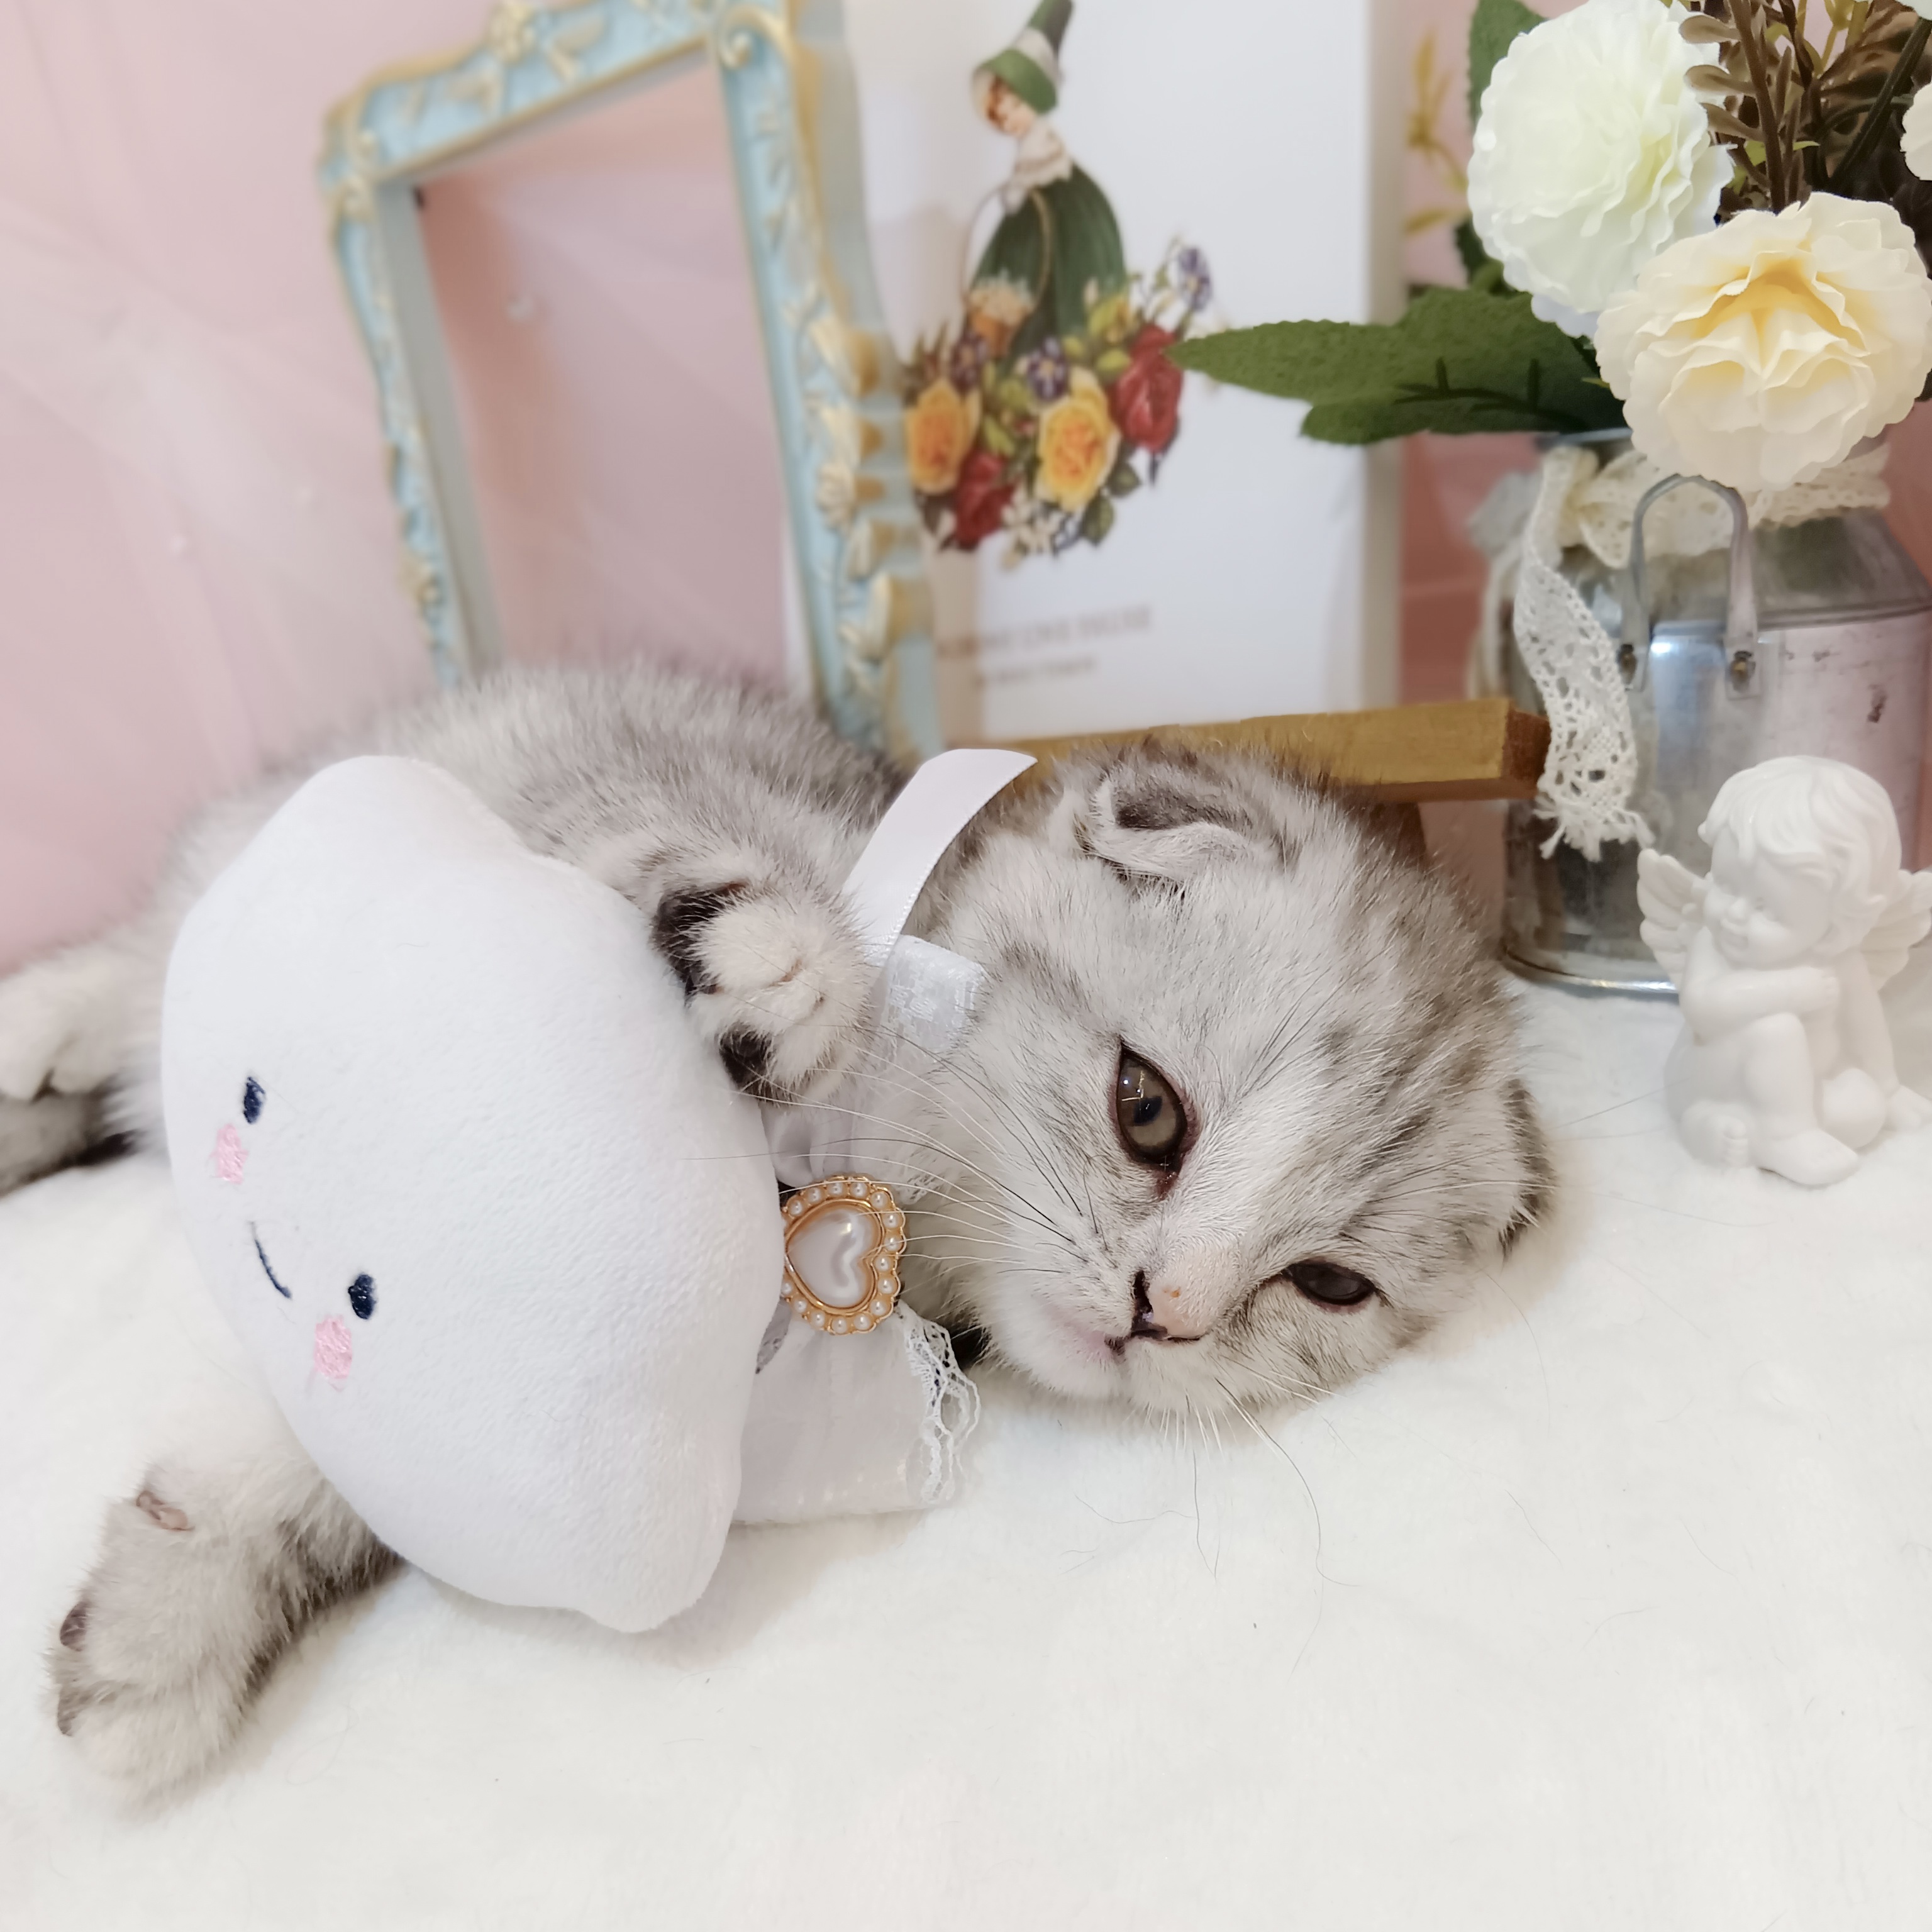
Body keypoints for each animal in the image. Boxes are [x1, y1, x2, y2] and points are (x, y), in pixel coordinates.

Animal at [2, 663, 1550, 1793]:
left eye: (1326, 1285)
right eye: (1147, 1109)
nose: (1162, 1309)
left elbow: (355, 1455)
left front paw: (157, 1627)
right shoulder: (626, 808)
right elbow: (664, 852)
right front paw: (780, 963)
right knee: (139, 962)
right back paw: (36, 1040)